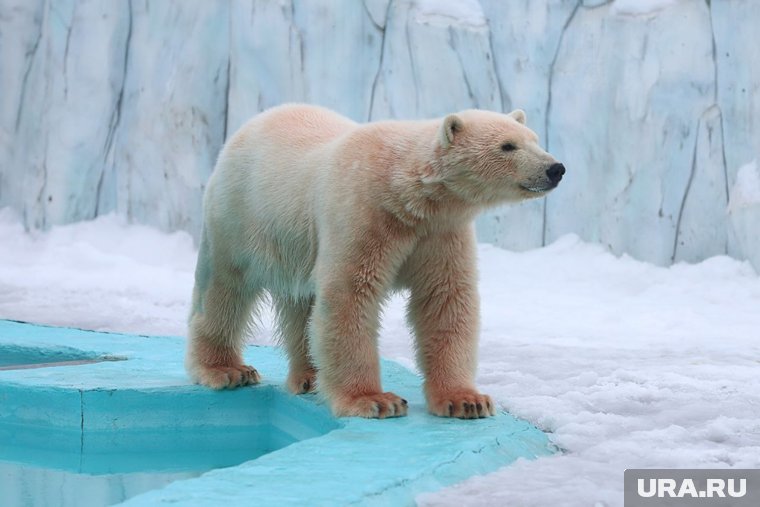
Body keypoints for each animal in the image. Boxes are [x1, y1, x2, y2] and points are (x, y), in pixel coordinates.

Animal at [185, 104, 564, 420]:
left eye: (534, 139)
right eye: (507, 146)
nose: (555, 168)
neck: (406, 193)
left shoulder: (440, 233)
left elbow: (445, 300)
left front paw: (467, 400)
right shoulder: (364, 216)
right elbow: (350, 298)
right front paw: (375, 401)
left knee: (302, 305)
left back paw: (309, 376)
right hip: (239, 215)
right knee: (224, 289)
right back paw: (227, 370)